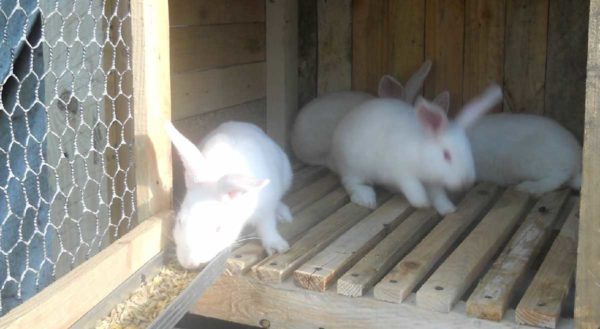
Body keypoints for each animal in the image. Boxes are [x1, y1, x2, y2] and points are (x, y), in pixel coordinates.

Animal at [166, 121, 292, 268]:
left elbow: (267, 227)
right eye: (180, 221)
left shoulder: (266, 210)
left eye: (218, 228)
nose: (190, 263)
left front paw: (277, 246)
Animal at [330, 84, 504, 214]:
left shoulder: (434, 182)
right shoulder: (403, 174)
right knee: (351, 184)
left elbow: (439, 196)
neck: (422, 150)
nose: (466, 181)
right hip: (353, 169)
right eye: (446, 155)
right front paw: (423, 203)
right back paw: (366, 198)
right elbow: (414, 189)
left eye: (469, 150)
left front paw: (448, 209)